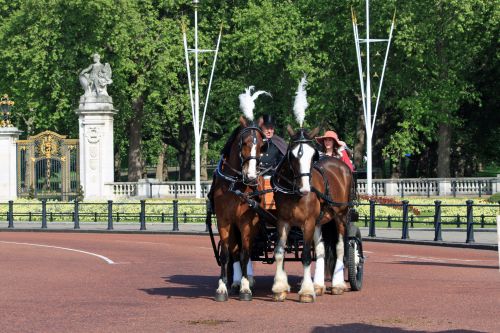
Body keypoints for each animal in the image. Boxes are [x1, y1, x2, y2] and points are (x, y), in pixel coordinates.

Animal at [210, 115, 266, 300]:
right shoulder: (224, 221)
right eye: (244, 143)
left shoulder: (247, 222)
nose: (251, 177)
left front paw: (245, 287)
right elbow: (226, 254)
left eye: (262, 145)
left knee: (245, 250)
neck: (236, 185)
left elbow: (245, 254)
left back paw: (246, 280)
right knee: (234, 250)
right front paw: (222, 287)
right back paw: (235, 281)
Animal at [272, 126, 354, 302]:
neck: (294, 193)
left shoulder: (308, 222)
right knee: (321, 249)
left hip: (341, 217)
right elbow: (280, 252)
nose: (305, 189)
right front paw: (279, 288)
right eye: (292, 155)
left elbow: (306, 256)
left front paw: (306, 291)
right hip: (319, 221)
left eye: (313, 156)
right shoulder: (283, 221)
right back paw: (318, 285)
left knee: (340, 247)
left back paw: (337, 285)